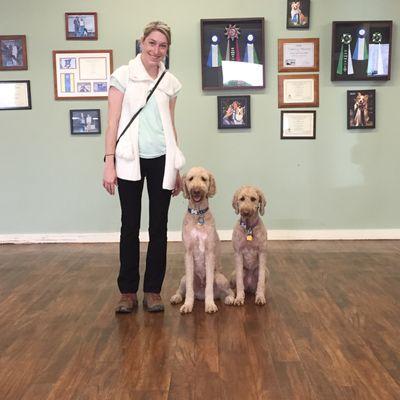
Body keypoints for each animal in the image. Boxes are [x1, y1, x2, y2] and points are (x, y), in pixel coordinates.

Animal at [170, 167, 234, 314]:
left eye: (204, 179)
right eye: (190, 179)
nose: (196, 191)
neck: (198, 214)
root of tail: (200, 295)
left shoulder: (210, 253)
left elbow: (209, 285)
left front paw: (210, 305)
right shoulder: (188, 254)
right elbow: (189, 289)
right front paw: (188, 305)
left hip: (220, 279)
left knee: (228, 291)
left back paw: (230, 299)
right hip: (183, 278)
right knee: (182, 289)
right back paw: (176, 297)